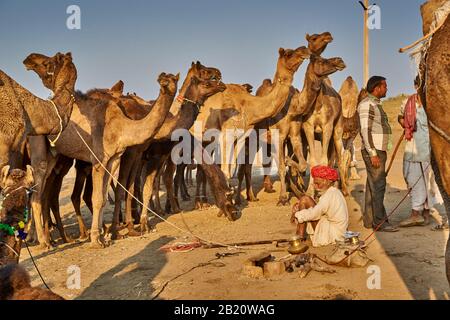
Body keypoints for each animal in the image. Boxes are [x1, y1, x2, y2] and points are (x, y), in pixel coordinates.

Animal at [22, 53, 178, 248]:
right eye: (164, 80)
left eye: (173, 80)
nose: (164, 83)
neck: (122, 125)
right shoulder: (98, 159)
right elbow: (96, 198)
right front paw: (96, 239)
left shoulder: (113, 159)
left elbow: (103, 198)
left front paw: (105, 235)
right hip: (38, 147)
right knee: (36, 193)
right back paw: (44, 242)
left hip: (54, 156)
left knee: (42, 193)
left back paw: (50, 238)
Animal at [237, 55, 346, 205]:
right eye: (321, 60)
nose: (339, 60)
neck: (293, 107)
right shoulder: (280, 136)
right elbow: (282, 167)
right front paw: (283, 198)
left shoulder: (295, 134)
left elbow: (302, 163)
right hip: (252, 138)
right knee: (246, 165)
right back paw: (248, 197)